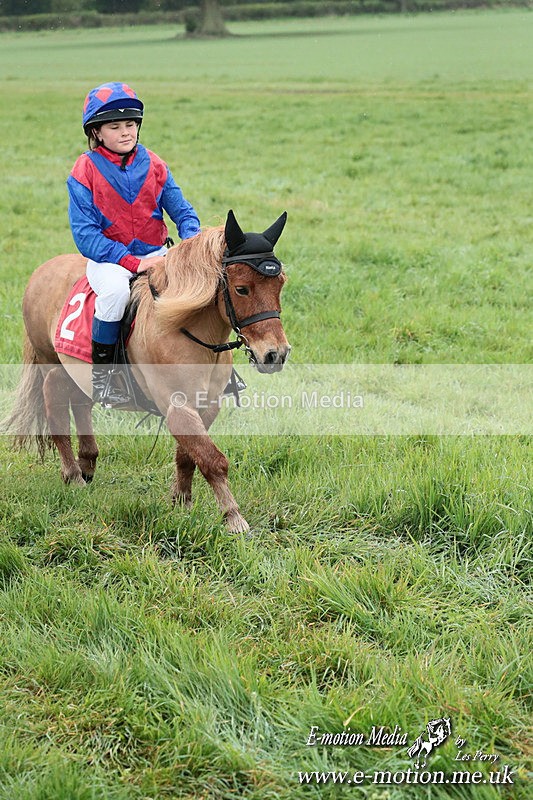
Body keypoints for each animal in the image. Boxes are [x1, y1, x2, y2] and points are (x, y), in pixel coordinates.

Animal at [4, 210, 290, 533]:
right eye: (242, 289)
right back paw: (73, 475)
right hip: (52, 365)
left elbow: (188, 456)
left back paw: (87, 463)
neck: (183, 328)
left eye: (279, 284)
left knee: (81, 403)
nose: (275, 354)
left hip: (77, 372)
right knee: (56, 405)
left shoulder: (206, 405)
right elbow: (212, 459)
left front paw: (181, 502)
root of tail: (42, 270)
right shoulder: (177, 406)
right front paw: (233, 517)